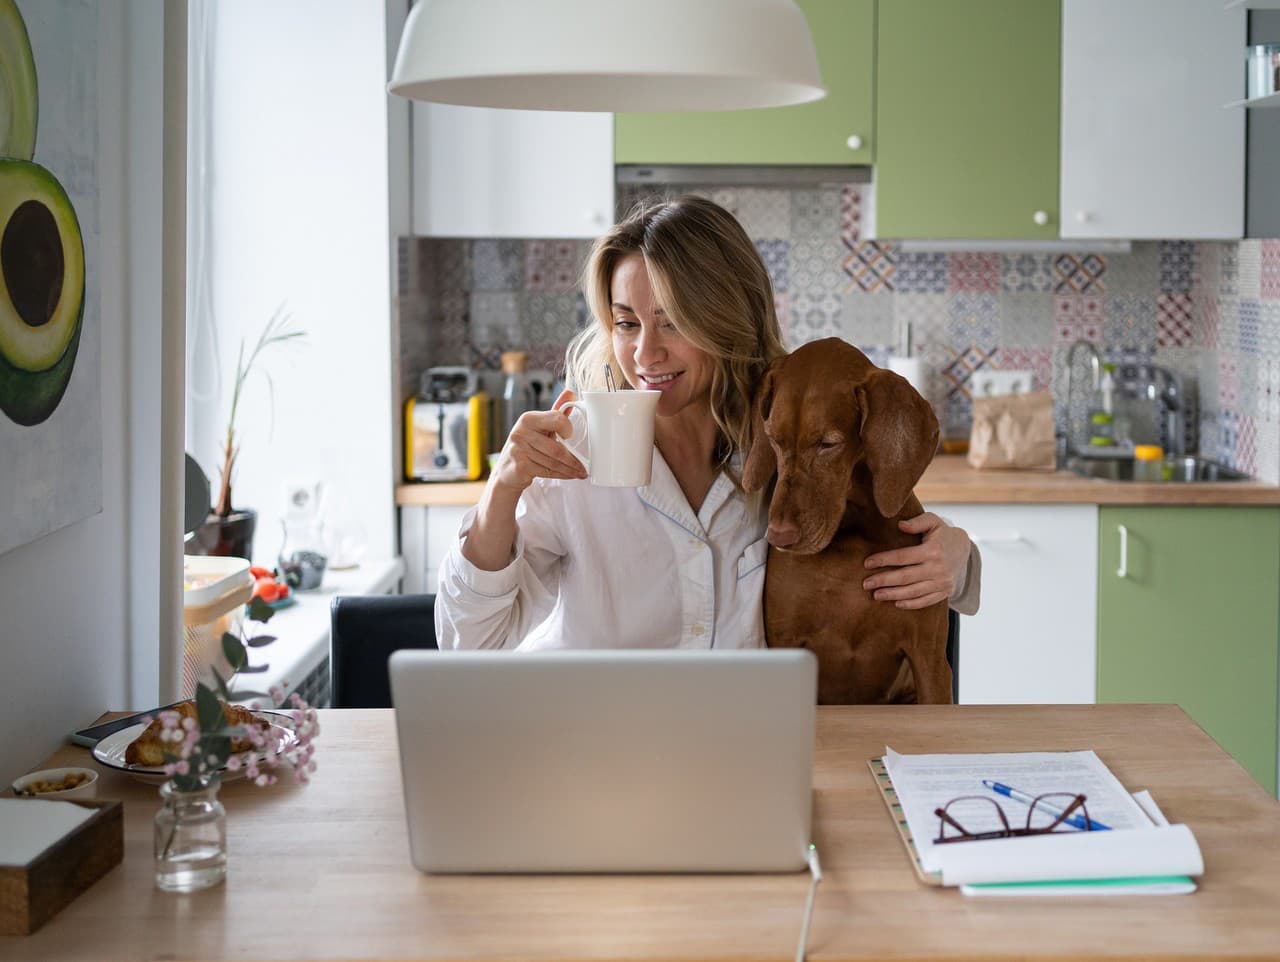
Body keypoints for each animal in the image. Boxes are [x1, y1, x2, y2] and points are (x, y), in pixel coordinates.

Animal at [742, 337, 952, 706]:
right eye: (773, 439)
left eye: (828, 444)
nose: (778, 536)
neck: (853, 536)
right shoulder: (785, 642)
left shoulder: (930, 662)